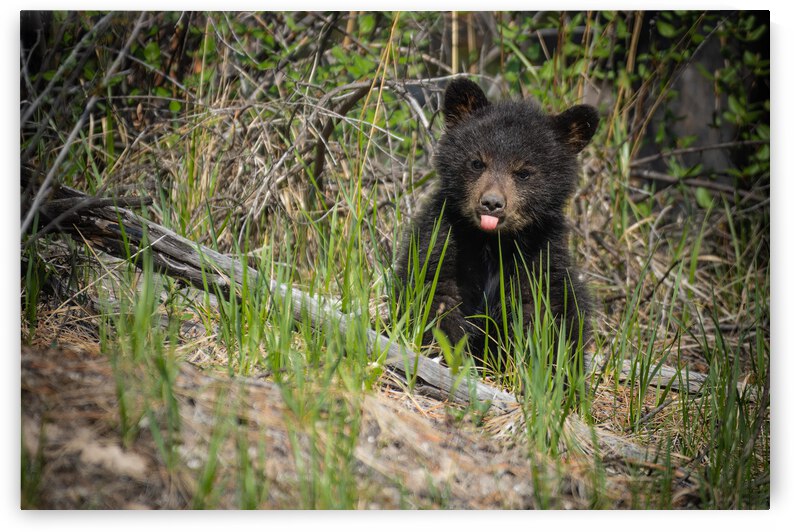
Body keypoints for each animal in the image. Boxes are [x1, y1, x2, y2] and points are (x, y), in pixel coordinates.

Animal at [394, 78, 598, 370]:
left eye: (523, 172)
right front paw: (449, 351)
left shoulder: (539, 257)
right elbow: (437, 293)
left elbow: (543, 312)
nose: (491, 203)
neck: (493, 242)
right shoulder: (445, 240)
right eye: (477, 162)